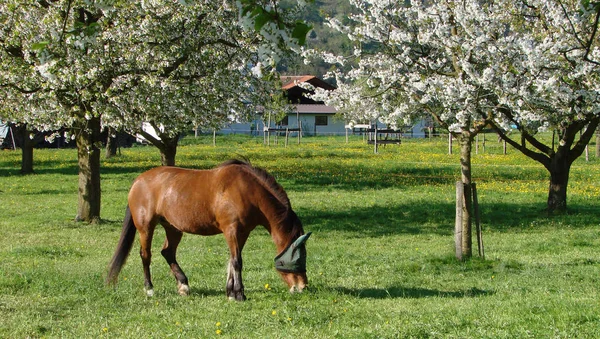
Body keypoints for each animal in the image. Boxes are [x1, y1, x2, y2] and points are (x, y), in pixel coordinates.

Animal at [106, 161, 312, 302]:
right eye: (294, 260)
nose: (302, 286)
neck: (247, 191)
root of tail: (138, 181)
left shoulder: (242, 233)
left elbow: (231, 260)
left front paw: (230, 292)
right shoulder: (231, 230)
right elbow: (237, 262)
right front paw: (239, 294)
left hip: (173, 228)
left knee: (167, 252)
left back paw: (183, 285)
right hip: (145, 227)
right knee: (146, 255)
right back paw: (149, 288)